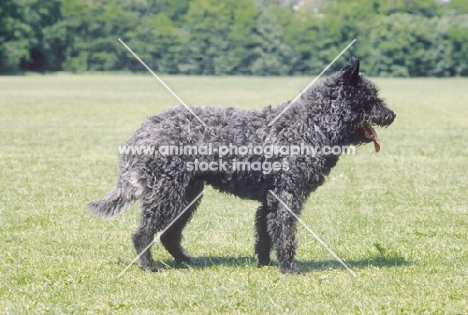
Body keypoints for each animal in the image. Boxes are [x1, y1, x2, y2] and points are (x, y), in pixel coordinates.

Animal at [87, 57, 394, 274]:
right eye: (370, 99)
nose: (391, 114)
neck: (310, 124)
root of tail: (144, 129)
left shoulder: (270, 199)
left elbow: (265, 235)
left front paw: (266, 263)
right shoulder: (287, 196)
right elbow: (285, 234)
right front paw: (289, 268)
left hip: (187, 195)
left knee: (169, 234)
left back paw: (185, 260)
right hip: (167, 194)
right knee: (143, 233)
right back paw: (148, 265)